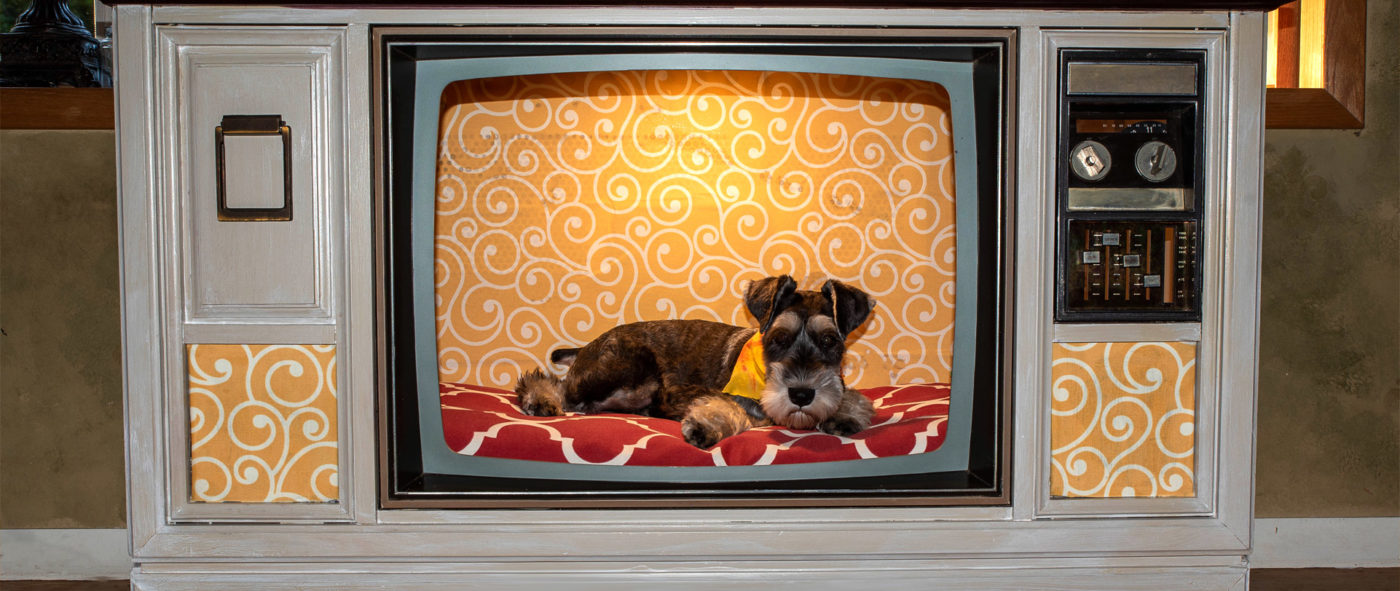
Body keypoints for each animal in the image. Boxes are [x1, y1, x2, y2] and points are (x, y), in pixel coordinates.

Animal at [515, 275, 873, 448]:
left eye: (829, 341)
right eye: (778, 339)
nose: (801, 394)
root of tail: (588, 345)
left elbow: (854, 397)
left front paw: (845, 414)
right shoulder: (701, 393)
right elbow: (729, 408)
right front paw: (706, 426)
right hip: (631, 368)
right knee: (558, 386)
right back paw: (540, 400)